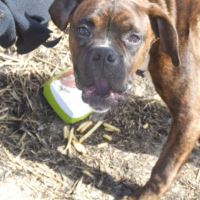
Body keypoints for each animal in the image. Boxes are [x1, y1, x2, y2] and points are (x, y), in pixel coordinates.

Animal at [48, 0, 200, 199]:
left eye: (134, 38)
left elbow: (164, 169)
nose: (103, 54)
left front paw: (142, 196)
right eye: (83, 30)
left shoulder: (189, 116)